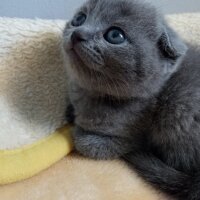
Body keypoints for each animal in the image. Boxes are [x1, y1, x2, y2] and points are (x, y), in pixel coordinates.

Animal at [63, 0, 200, 199]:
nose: (77, 33)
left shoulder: (137, 137)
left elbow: (86, 143)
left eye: (115, 35)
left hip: (178, 109)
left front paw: (79, 131)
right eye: (79, 18)